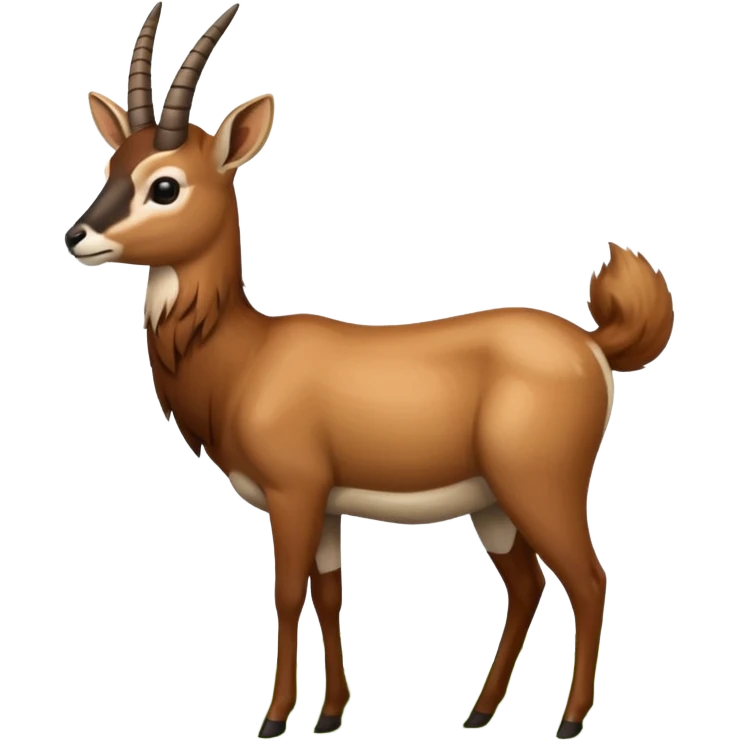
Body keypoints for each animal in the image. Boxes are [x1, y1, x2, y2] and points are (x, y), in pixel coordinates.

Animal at [64, 3, 675, 738]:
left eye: (164, 184)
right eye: (111, 164)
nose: (78, 237)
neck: (247, 355)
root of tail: (592, 343)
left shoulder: (294, 494)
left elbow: (287, 592)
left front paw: (275, 719)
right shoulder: (327, 505)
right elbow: (329, 592)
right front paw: (330, 714)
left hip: (541, 487)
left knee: (587, 579)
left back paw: (570, 721)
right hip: (492, 503)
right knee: (528, 583)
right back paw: (478, 712)